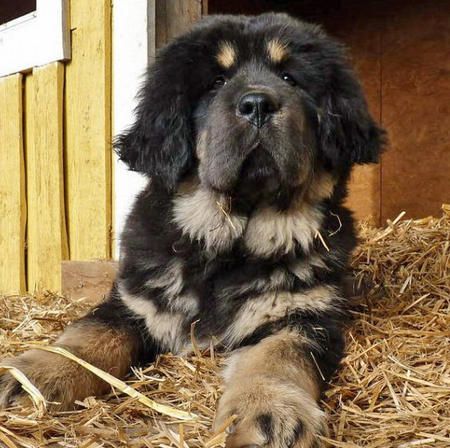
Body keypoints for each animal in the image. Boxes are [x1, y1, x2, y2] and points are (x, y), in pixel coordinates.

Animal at [1, 12, 384, 446]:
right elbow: (88, 337)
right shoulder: (135, 302)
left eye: (290, 77)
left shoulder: (303, 315)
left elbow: (277, 357)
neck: (227, 243)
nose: (258, 104)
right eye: (216, 82)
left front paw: (269, 413)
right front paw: (37, 373)